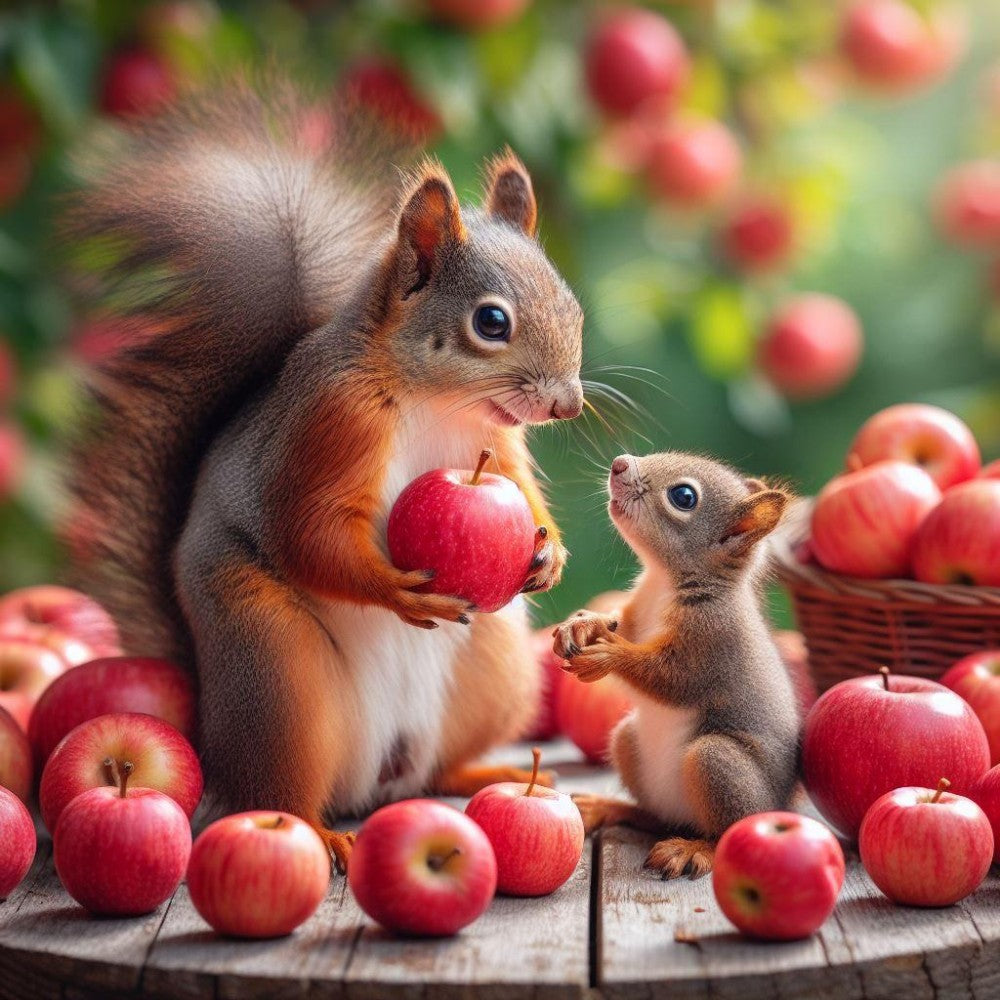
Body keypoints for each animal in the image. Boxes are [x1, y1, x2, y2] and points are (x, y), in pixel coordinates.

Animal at [64, 81, 584, 871]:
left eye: (573, 305)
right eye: (491, 322)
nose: (568, 403)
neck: (438, 401)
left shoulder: (496, 445)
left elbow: (524, 496)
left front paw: (549, 552)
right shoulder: (329, 425)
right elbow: (307, 529)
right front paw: (394, 590)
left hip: (494, 668)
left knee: (437, 771)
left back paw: (484, 774)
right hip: (276, 671)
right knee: (278, 794)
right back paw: (319, 832)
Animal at [552, 452, 799, 879]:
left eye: (684, 497)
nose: (620, 464)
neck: (664, 582)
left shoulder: (711, 642)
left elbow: (672, 680)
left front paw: (608, 654)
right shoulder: (636, 614)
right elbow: (618, 623)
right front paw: (582, 624)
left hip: (718, 765)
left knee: (724, 830)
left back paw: (694, 849)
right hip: (626, 741)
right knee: (653, 817)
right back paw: (608, 807)